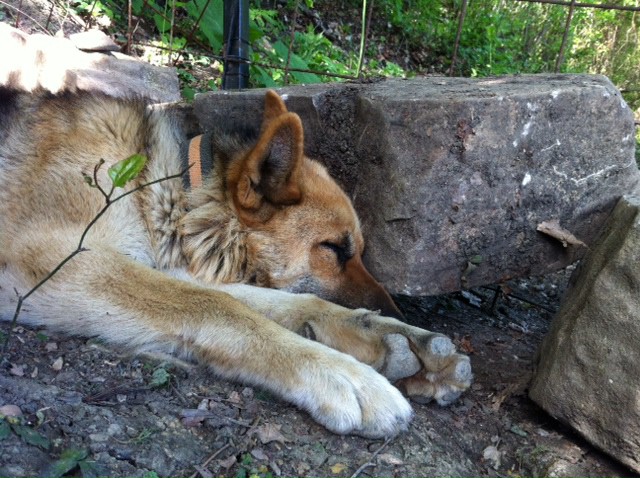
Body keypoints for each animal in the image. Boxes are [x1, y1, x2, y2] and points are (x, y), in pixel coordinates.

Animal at [0, 87, 471, 438]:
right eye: (336, 249)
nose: (398, 312)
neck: (166, 185)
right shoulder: (59, 259)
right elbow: (220, 306)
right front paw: (341, 373)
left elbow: (289, 303)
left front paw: (390, 335)